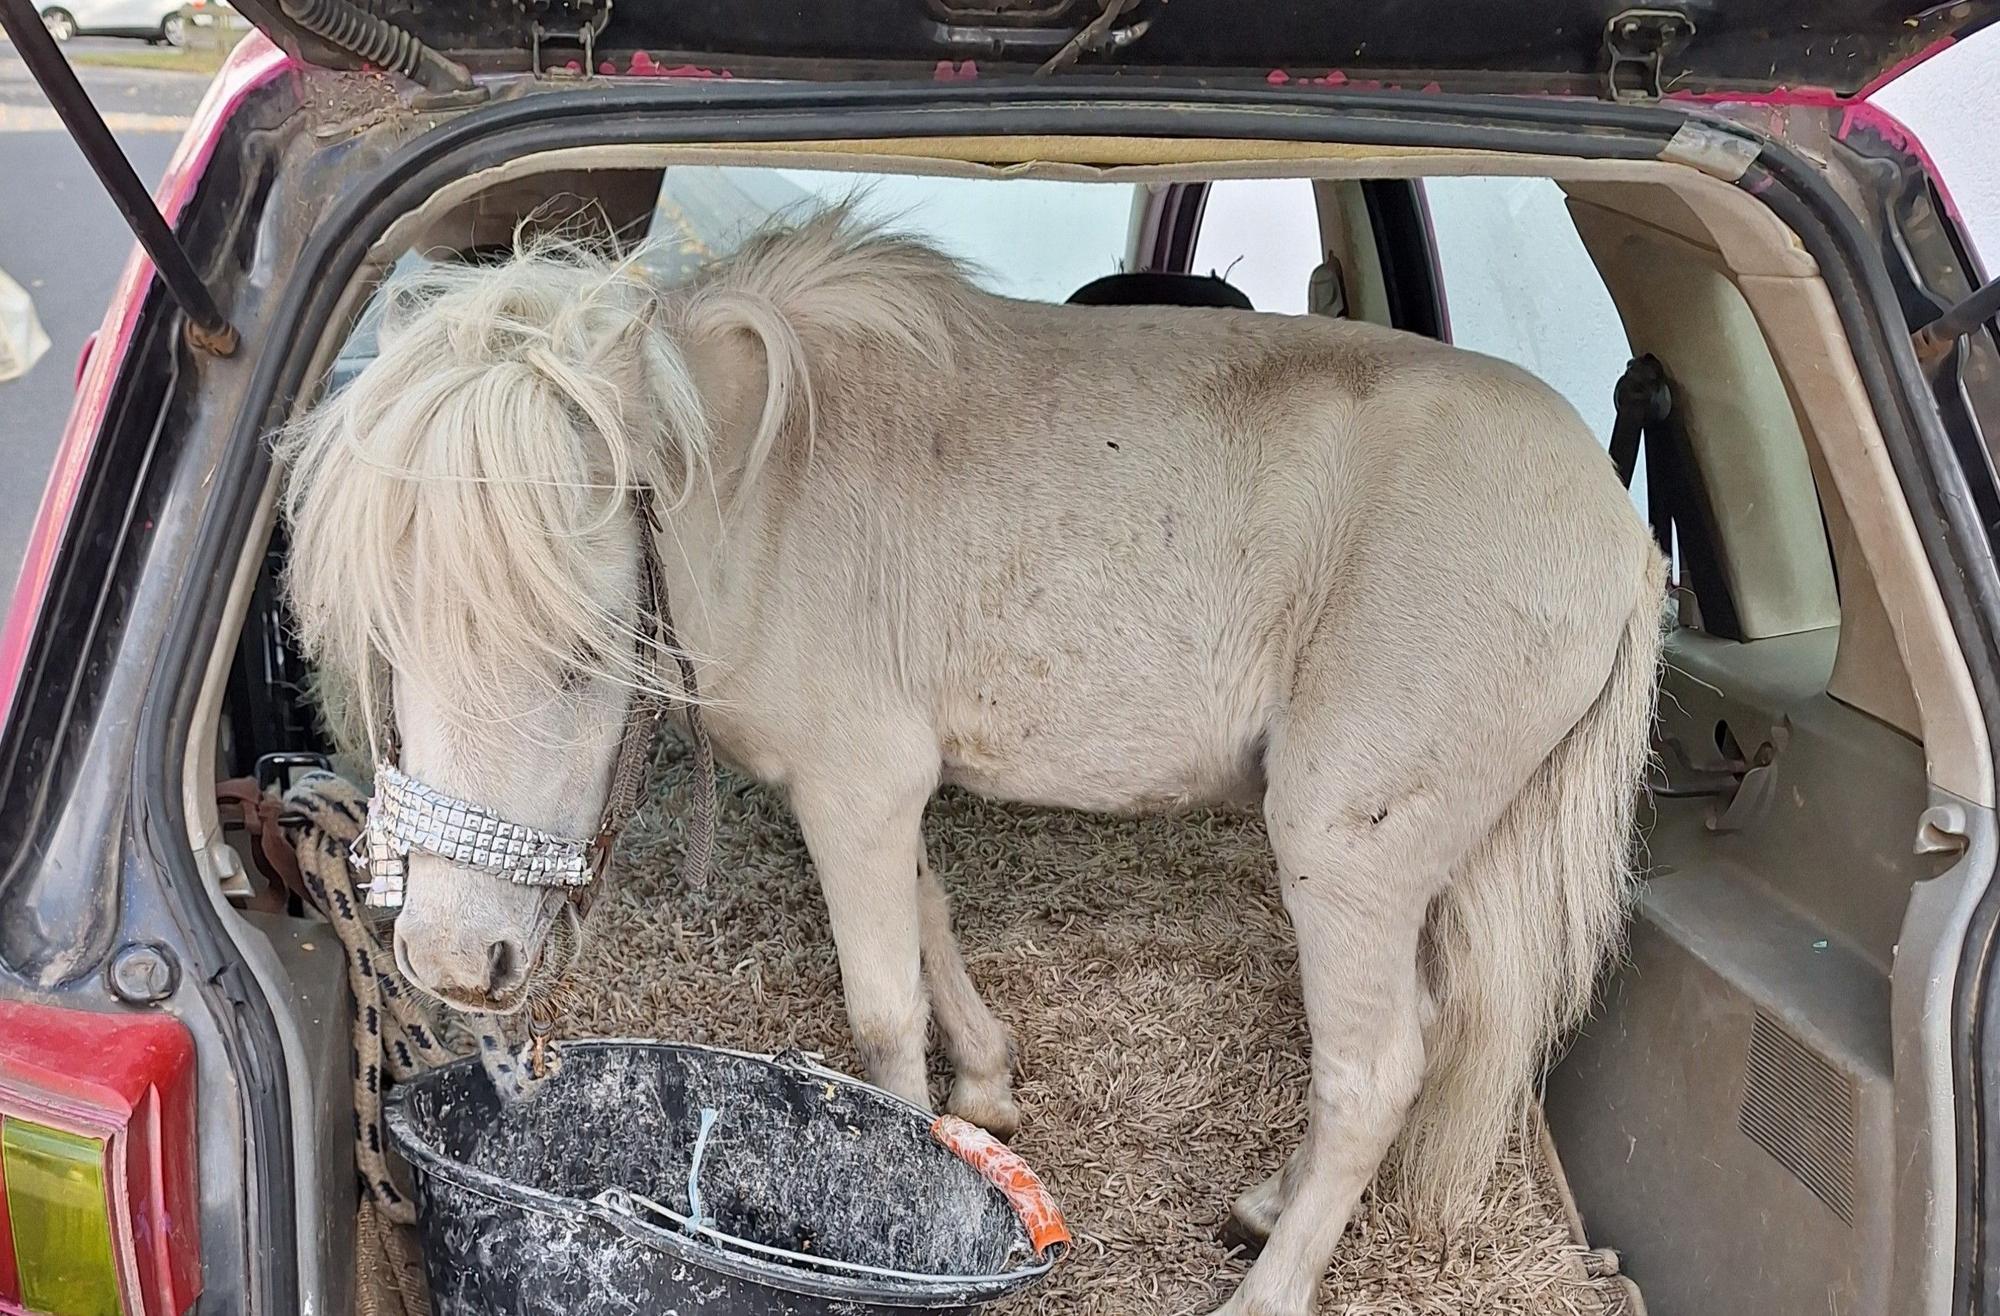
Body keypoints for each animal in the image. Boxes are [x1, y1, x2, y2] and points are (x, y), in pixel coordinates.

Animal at [278, 207, 1664, 1316]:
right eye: (385, 644)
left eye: (577, 650)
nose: (453, 959)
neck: (768, 489)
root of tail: (1615, 532)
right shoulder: (874, 788)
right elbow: (932, 918)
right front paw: (986, 1088)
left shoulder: (857, 784)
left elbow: (881, 1015)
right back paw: (1269, 1201)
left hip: (1346, 846)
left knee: (1372, 1071)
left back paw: (1266, 1288)